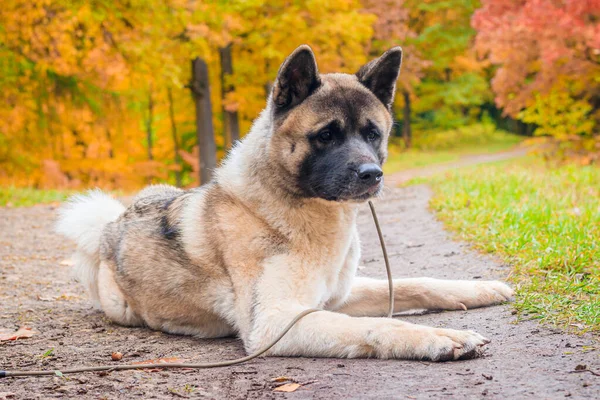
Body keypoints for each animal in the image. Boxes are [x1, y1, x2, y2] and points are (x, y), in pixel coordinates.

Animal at [58, 45, 512, 360]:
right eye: (326, 135)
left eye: (372, 134)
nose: (371, 174)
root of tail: (111, 225)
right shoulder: (277, 322)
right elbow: (374, 326)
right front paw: (440, 337)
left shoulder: (337, 295)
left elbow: (412, 282)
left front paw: (478, 289)